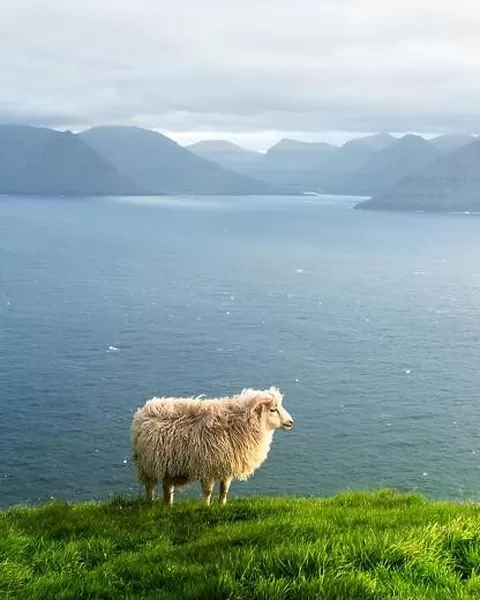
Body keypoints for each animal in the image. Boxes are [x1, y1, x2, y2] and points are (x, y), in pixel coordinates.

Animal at [130, 386, 292, 504]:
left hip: (169, 466)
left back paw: (168, 506)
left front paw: (221, 505)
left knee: (167, 487)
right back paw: (150, 504)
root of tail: (144, 409)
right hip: (147, 465)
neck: (239, 423)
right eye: (273, 409)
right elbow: (208, 491)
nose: (291, 422)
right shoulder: (207, 467)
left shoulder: (227, 465)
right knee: (150, 487)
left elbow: (224, 489)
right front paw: (205, 507)